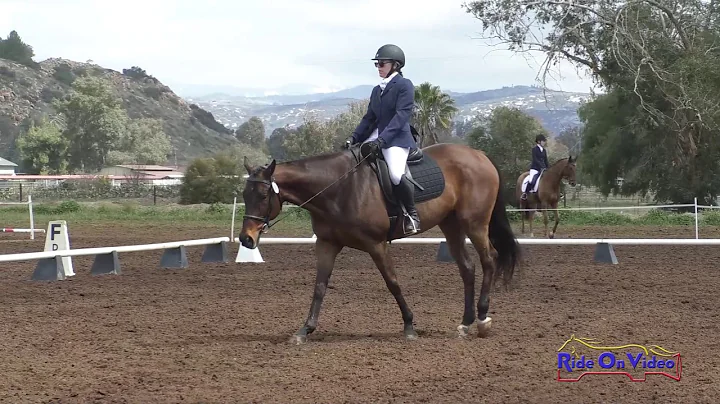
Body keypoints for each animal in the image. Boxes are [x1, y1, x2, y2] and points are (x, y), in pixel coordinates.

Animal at [239, 141, 520, 344]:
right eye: (244, 194)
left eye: (263, 195)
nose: (246, 239)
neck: (338, 188)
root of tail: (479, 155)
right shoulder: (327, 244)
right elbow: (319, 286)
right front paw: (305, 330)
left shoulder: (376, 244)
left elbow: (392, 283)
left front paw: (409, 326)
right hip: (451, 225)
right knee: (467, 268)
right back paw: (465, 323)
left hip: (475, 223)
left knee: (489, 259)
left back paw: (482, 320)